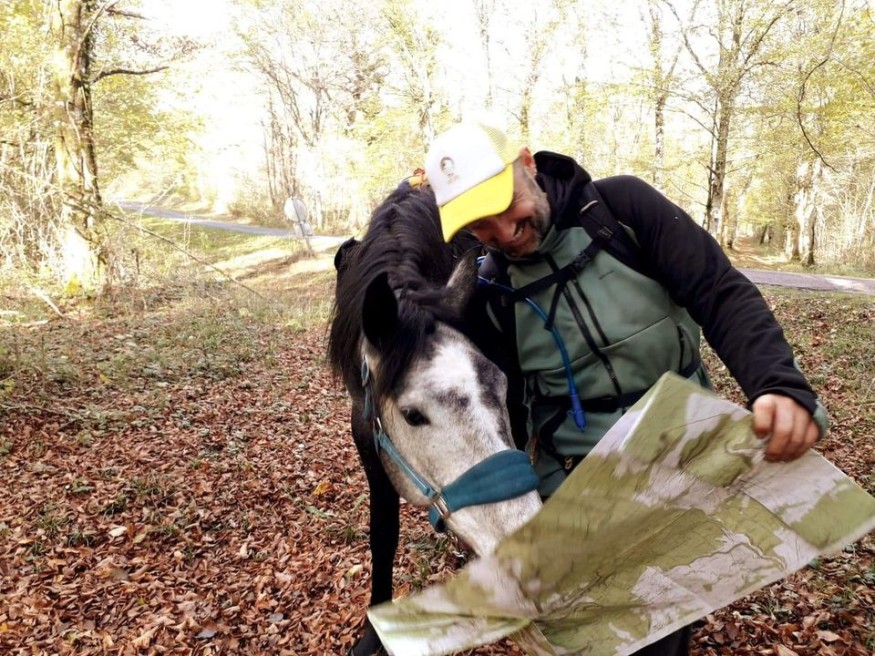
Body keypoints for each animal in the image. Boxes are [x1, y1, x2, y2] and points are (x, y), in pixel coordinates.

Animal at [327, 182, 543, 656]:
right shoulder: (372, 450)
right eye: (412, 415)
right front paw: (373, 631)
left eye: (500, 384)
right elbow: (382, 536)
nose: (530, 553)